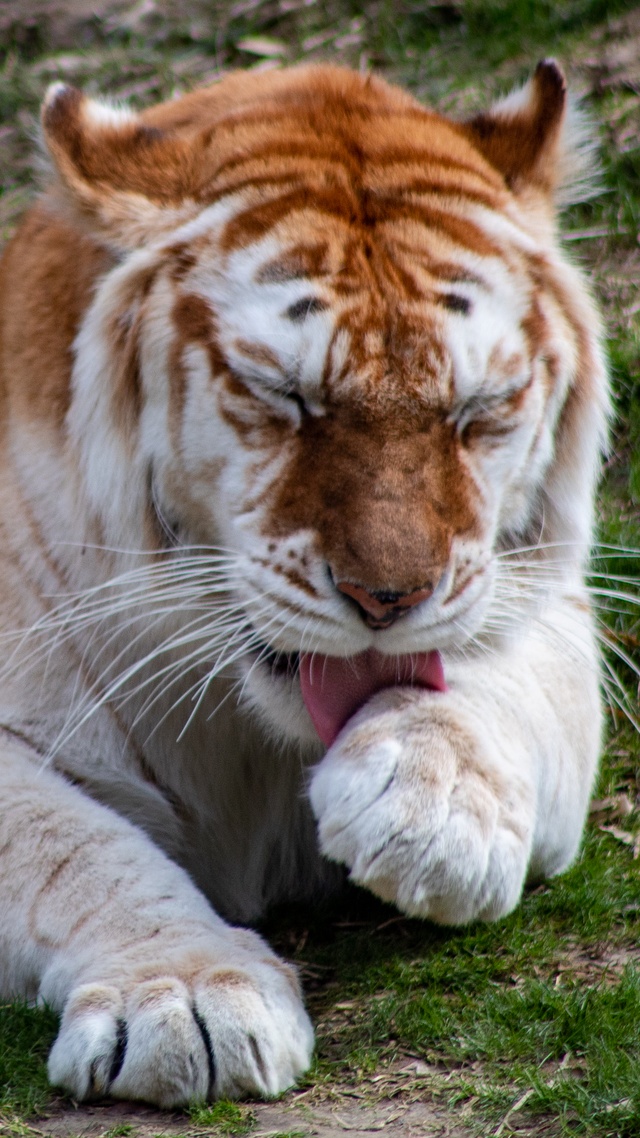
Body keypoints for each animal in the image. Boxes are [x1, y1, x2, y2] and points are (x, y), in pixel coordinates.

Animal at [0, 60, 605, 1101]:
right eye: (284, 396)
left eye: (478, 410)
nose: (388, 599)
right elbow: (69, 849)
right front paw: (183, 991)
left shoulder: (554, 609)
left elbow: (511, 685)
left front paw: (431, 797)